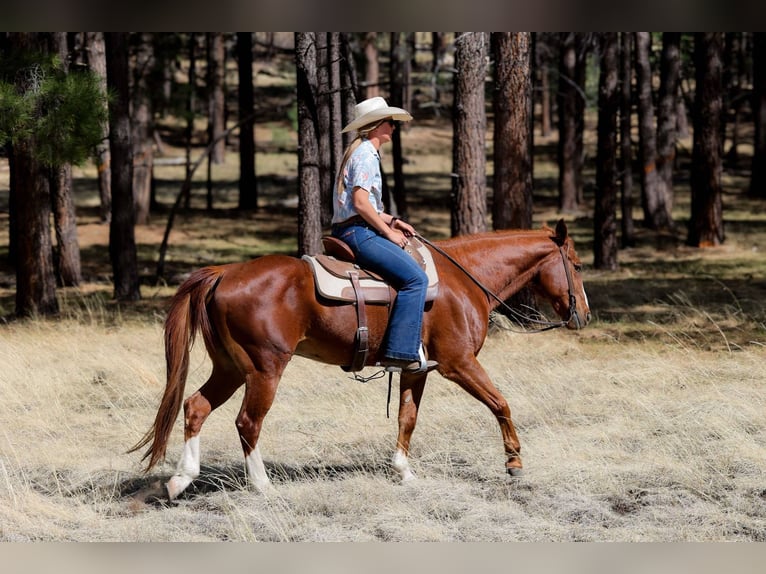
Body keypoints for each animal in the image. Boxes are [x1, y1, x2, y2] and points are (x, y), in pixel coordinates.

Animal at [130, 219, 591, 499]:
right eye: (577, 264)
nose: (583, 315)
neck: (463, 280)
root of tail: (224, 272)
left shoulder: (417, 370)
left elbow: (407, 417)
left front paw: (403, 471)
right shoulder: (459, 364)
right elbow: (500, 403)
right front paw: (514, 463)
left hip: (229, 368)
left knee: (195, 407)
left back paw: (179, 481)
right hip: (264, 369)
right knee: (248, 422)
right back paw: (262, 486)